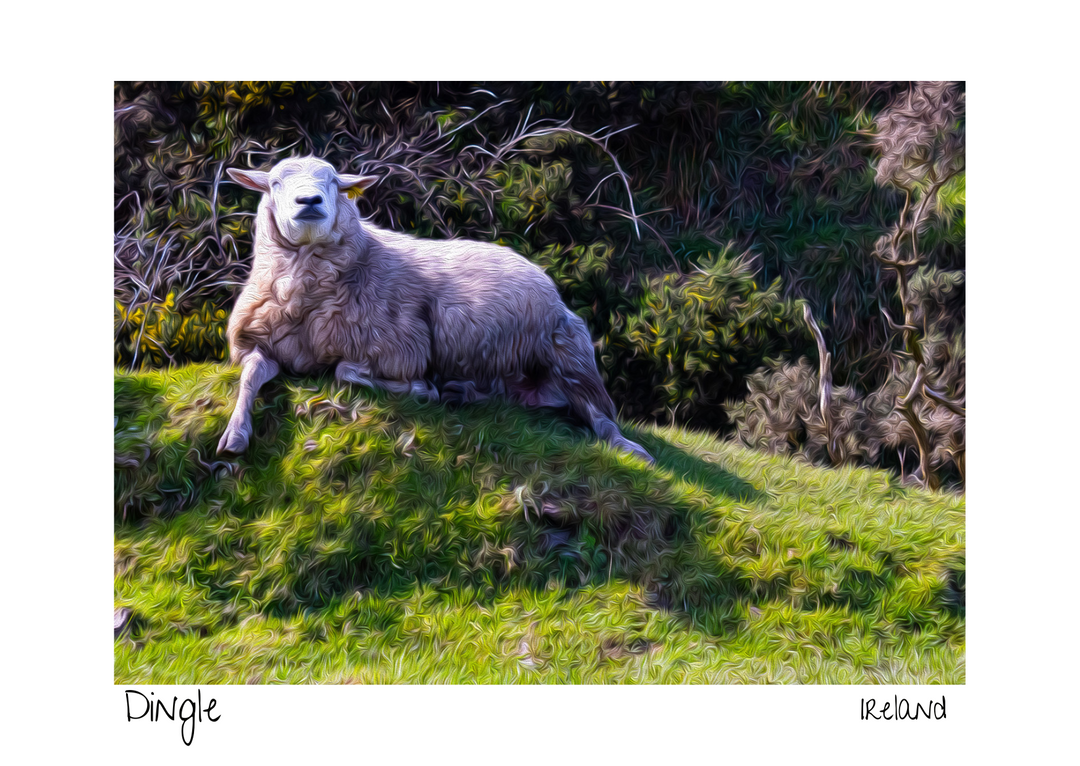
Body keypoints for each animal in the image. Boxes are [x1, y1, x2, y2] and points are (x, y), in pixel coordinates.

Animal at [217, 156, 652, 463]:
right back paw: (465, 392)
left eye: (335, 182)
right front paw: (235, 434)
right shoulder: (257, 344)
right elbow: (250, 376)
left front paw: (421, 389)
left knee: (599, 415)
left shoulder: (401, 349)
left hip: (569, 350)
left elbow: (345, 372)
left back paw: (630, 448)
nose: (310, 201)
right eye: (275, 181)